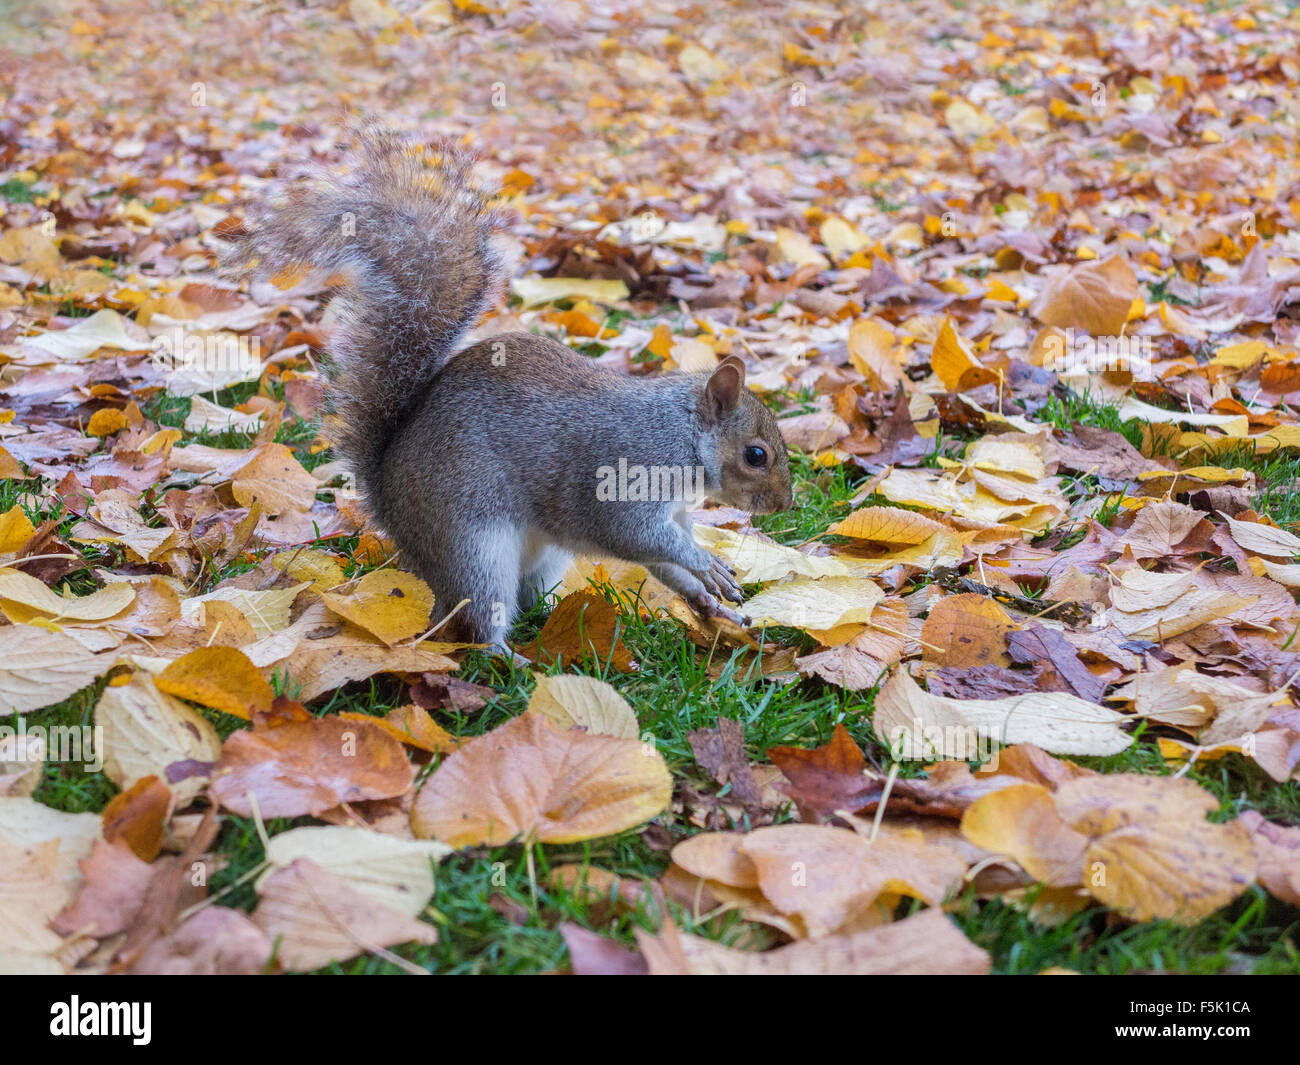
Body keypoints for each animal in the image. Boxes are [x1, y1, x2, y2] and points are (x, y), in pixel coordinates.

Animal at [223, 128, 790, 652]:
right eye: (756, 454)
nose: (784, 505)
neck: (681, 434)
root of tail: (388, 498)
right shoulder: (624, 473)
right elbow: (637, 536)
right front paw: (706, 563)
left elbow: (661, 557)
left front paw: (707, 595)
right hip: (472, 543)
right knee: (478, 616)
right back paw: (510, 657)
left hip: (542, 557)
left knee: (525, 598)